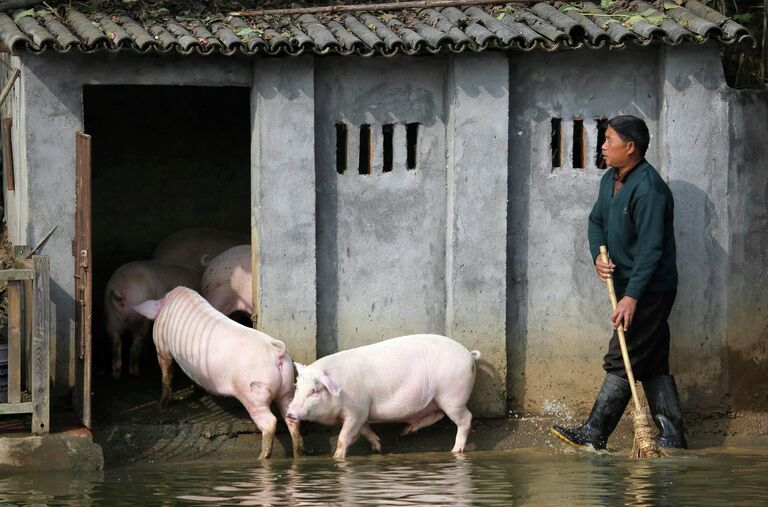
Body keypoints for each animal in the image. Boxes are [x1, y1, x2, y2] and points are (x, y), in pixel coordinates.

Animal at [134, 286, 302, 460]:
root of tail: (277, 352)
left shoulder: (162, 345)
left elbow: (166, 372)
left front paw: (162, 404)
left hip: (254, 395)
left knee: (270, 422)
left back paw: (261, 457)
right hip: (287, 388)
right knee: (292, 417)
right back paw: (298, 454)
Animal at [288, 336, 480, 458]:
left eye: (315, 391)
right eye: (297, 387)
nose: (290, 413)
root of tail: (469, 355)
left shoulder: (357, 409)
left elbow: (344, 438)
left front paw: (336, 458)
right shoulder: (362, 413)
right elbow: (365, 430)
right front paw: (378, 448)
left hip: (452, 396)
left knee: (466, 418)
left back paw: (455, 451)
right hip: (438, 400)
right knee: (439, 414)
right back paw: (405, 431)